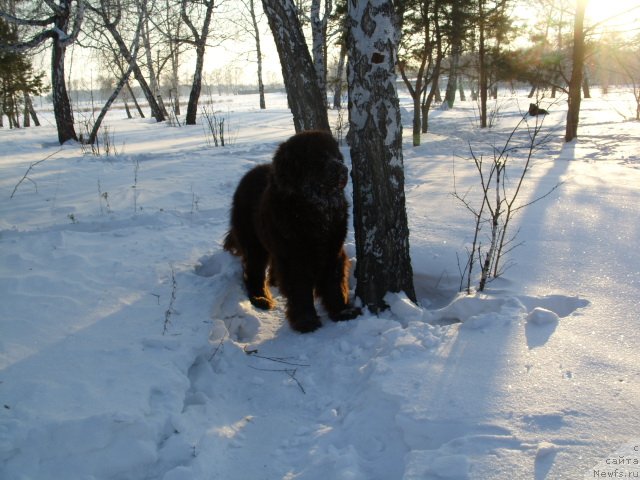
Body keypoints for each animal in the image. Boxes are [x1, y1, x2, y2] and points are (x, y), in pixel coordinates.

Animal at [224, 131, 360, 334]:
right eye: (318, 157)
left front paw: (342, 311)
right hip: (254, 243)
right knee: (253, 271)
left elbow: (334, 282)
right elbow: (300, 289)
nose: (344, 169)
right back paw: (260, 299)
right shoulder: (293, 257)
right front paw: (306, 321)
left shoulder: (332, 250)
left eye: (336, 154)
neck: (314, 211)